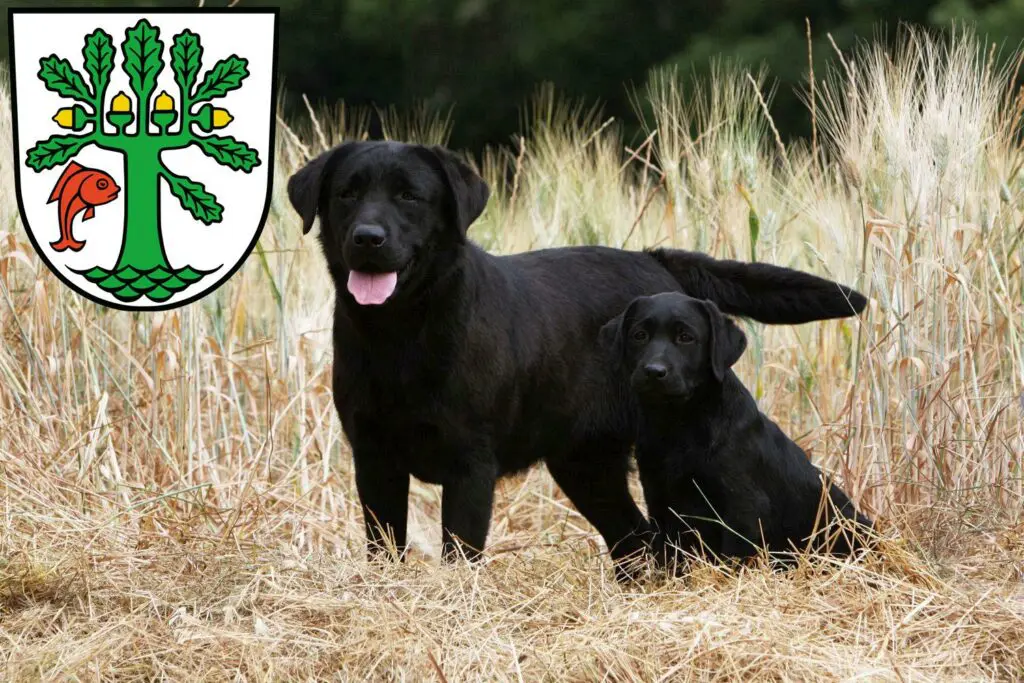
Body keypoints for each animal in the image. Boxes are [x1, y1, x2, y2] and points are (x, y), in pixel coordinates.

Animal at [598, 290, 872, 569]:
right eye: (639, 335)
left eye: (686, 338)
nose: (654, 371)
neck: (679, 423)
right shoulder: (661, 503)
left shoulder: (743, 508)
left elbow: (733, 557)